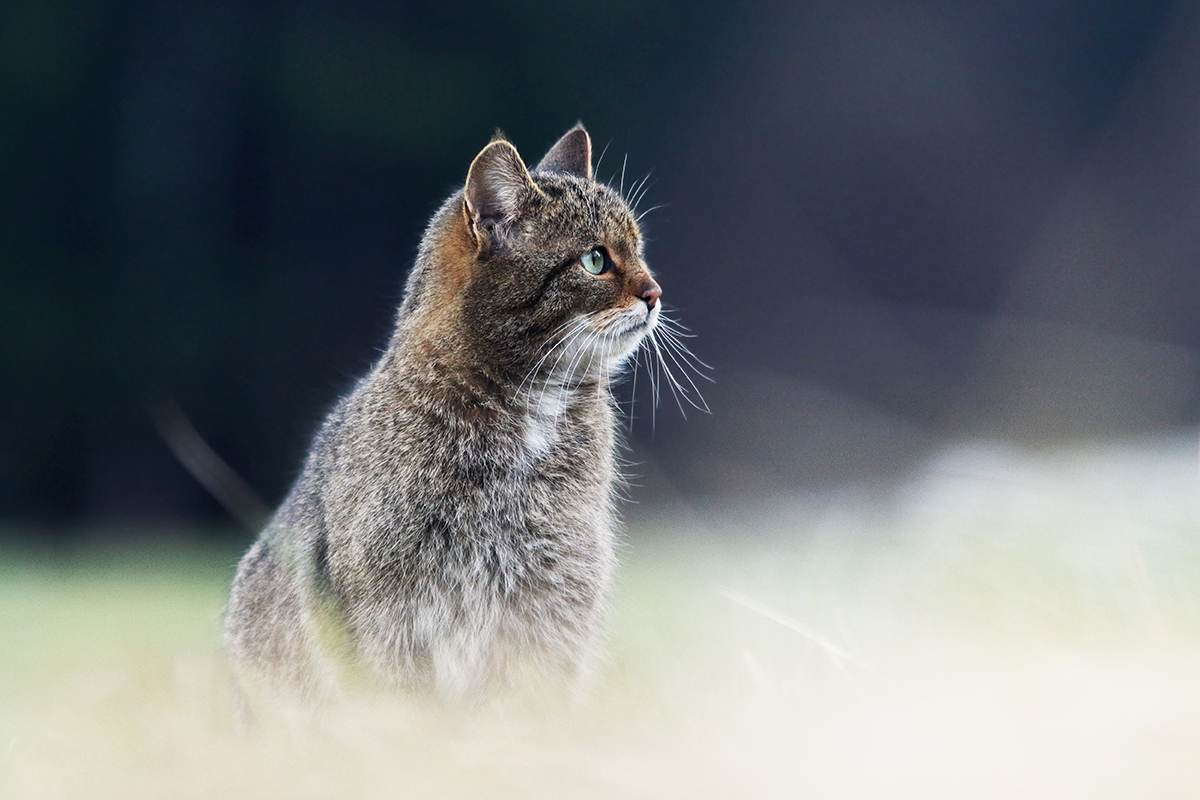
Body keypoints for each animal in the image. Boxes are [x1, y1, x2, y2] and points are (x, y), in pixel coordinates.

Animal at [225, 125, 672, 714]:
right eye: (595, 260)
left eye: (639, 251)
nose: (656, 293)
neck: (528, 412)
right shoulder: (393, 620)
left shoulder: (551, 607)